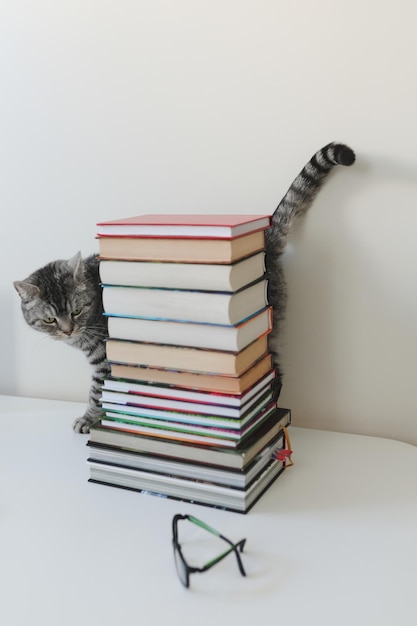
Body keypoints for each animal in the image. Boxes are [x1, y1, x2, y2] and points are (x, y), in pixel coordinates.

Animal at [13, 140, 354, 434]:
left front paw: (90, 418)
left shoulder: (107, 358)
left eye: (76, 310)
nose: (68, 330)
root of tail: (265, 241)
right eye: (50, 319)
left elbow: (99, 391)